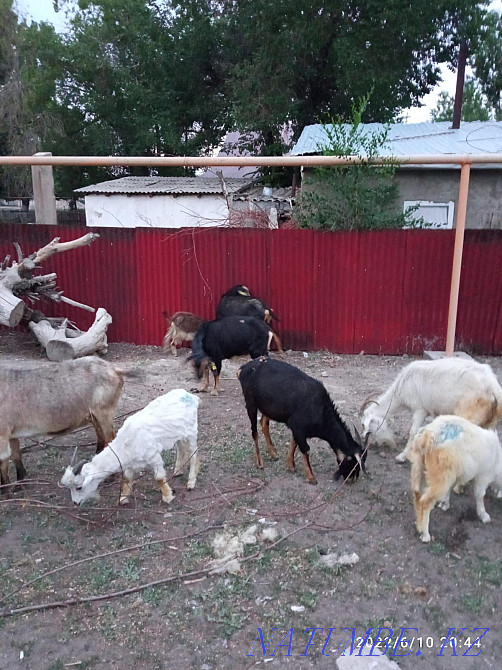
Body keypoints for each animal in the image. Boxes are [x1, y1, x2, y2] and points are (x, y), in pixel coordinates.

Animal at [0, 357, 127, 491]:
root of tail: (114, 369)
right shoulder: (11, 433)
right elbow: (15, 456)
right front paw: (20, 483)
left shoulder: (2, 433)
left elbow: (3, 460)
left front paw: (4, 489)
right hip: (94, 415)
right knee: (101, 436)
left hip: (104, 411)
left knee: (110, 438)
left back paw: (111, 476)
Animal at [60, 389, 200, 505]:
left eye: (79, 487)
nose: (75, 503)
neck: (125, 444)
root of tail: (190, 396)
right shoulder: (130, 464)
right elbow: (127, 479)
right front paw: (123, 499)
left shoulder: (154, 456)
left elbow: (159, 478)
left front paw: (167, 497)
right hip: (178, 434)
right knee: (181, 448)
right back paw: (178, 471)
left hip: (192, 431)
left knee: (194, 453)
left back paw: (191, 482)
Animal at [237, 357, 366, 484]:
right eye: (353, 464)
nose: (352, 480)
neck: (321, 410)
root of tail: (244, 368)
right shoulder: (298, 427)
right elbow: (305, 449)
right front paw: (311, 477)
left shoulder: (298, 429)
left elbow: (294, 443)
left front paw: (290, 465)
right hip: (250, 403)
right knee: (254, 431)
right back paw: (260, 462)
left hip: (268, 407)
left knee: (264, 422)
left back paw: (273, 454)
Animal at [361, 358, 502, 463]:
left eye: (364, 424)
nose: (364, 439)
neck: (401, 387)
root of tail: (493, 386)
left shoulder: (420, 409)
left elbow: (413, 431)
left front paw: (402, 456)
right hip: (490, 420)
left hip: (469, 415)